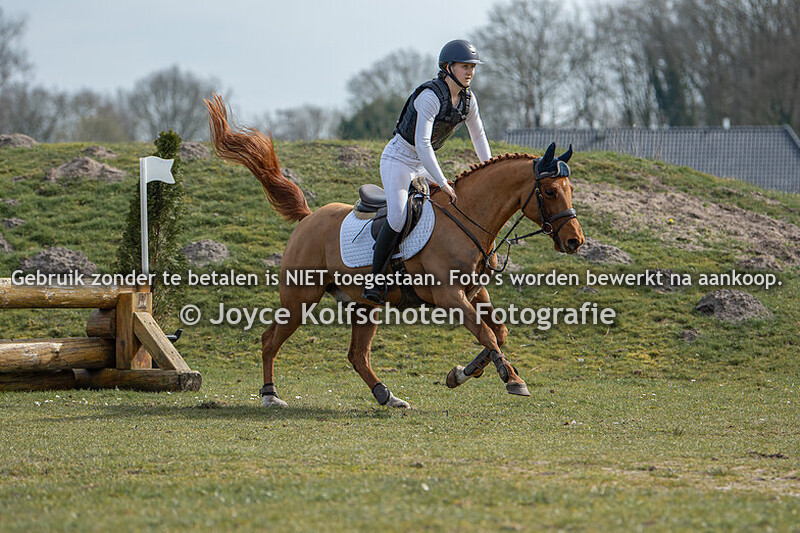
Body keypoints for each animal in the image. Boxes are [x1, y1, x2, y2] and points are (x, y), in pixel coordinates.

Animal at [204, 94, 584, 408]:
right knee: (271, 340)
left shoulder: (475, 292)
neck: (467, 219)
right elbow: (487, 333)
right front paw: (511, 379)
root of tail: (309, 217)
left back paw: (386, 396)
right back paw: (270, 395)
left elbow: (497, 333)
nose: (574, 241)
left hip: (364, 305)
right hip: (300, 298)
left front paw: (462, 374)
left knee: (358, 355)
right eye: (550, 191)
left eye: (569, 189)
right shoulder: (449, 296)